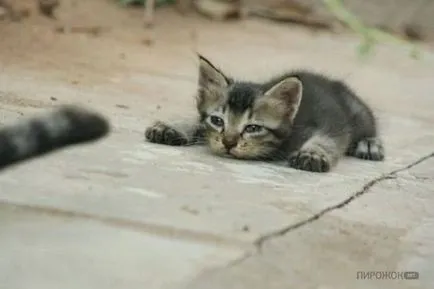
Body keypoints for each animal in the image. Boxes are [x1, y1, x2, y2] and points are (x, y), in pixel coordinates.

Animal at [145, 54, 384, 171]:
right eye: (217, 121)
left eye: (252, 128)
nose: (229, 143)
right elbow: (197, 122)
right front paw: (173, 127)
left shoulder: (332, 123)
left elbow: (328, 139)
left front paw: (312, 153)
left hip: (358, 112)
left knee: (369, 125)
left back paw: (369, 143)